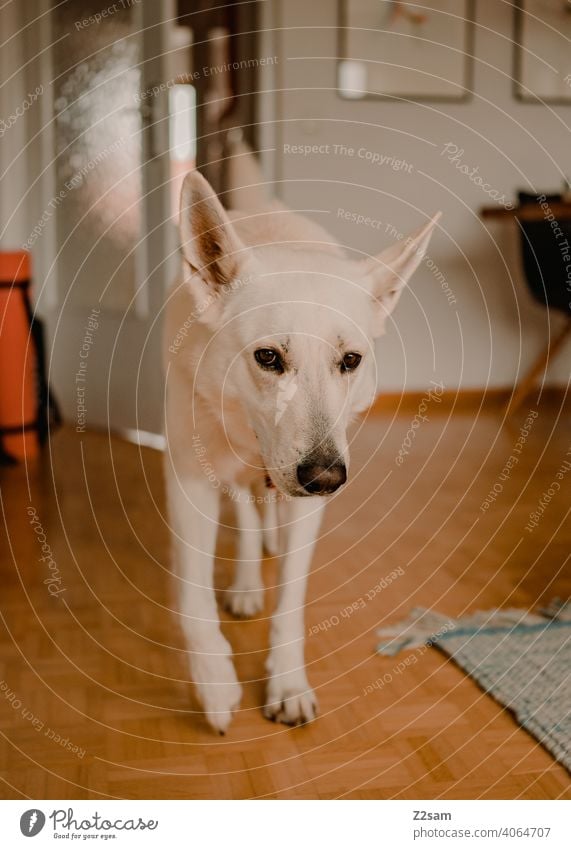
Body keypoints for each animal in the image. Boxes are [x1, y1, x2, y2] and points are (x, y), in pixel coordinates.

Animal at [163, 162, 440, 732]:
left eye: (350, 360)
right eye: (268, 357)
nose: (327, 478)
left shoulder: (306, 505)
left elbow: (291, 597)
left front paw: (288, 683)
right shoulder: (189, 479)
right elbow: (193, 592)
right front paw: (215, 683)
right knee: (247, 516)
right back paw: (248, 583)